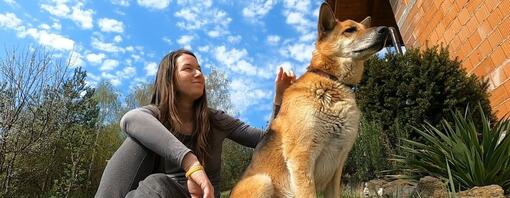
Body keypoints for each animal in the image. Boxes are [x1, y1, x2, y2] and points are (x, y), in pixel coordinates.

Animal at [229, 1, 388, 198]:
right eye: (350, 30)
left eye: (364, 27)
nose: (385, 29)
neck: (332, 81)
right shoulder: (301, 158)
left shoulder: (337, 166)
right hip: (263, 181)